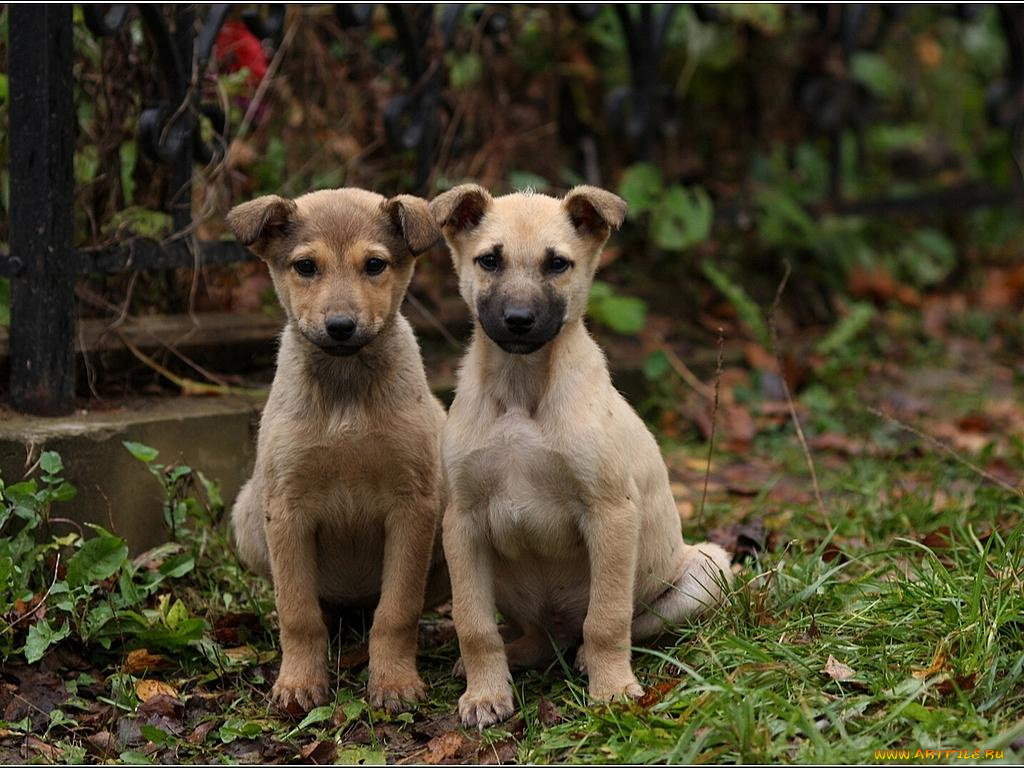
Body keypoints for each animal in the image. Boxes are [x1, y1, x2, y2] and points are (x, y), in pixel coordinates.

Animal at [228, 191, 444, 716]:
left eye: (374, 265)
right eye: (306, 266)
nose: (341, 326)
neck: (346, 390)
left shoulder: (413, 505)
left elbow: (397, 610)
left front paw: (394, 682)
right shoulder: (286, 508)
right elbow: (298, 612)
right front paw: (300, 683)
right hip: (248, 517)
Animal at [428, 185, 733, 729]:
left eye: (557, 264)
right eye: (489, 260)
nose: (519, 322)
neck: (522, 391)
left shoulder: (610, 512)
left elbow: (607, 618)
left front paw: (612, 691)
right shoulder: (462, 521)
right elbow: (473, 623)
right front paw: (485, 694)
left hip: (707, 568)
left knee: (622, 625)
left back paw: (591, 659)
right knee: (533, 638)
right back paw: (513, 655)